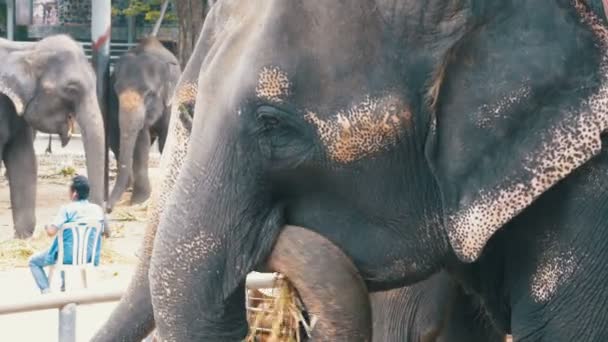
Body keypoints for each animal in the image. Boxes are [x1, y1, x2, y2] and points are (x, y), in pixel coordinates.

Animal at [0, 35, 104, 238]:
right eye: (72, 89)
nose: (105, 233)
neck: (26, 50)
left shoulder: (18, 109)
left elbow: (23, 160)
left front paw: (22, 237)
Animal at [106, 35, 180, 211]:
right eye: (116, 91)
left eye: (149, 94)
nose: (108, 208)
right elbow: (141, 142)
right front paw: (139, 201)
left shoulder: (172, 102)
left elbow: (166, 139)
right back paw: (128, 187)